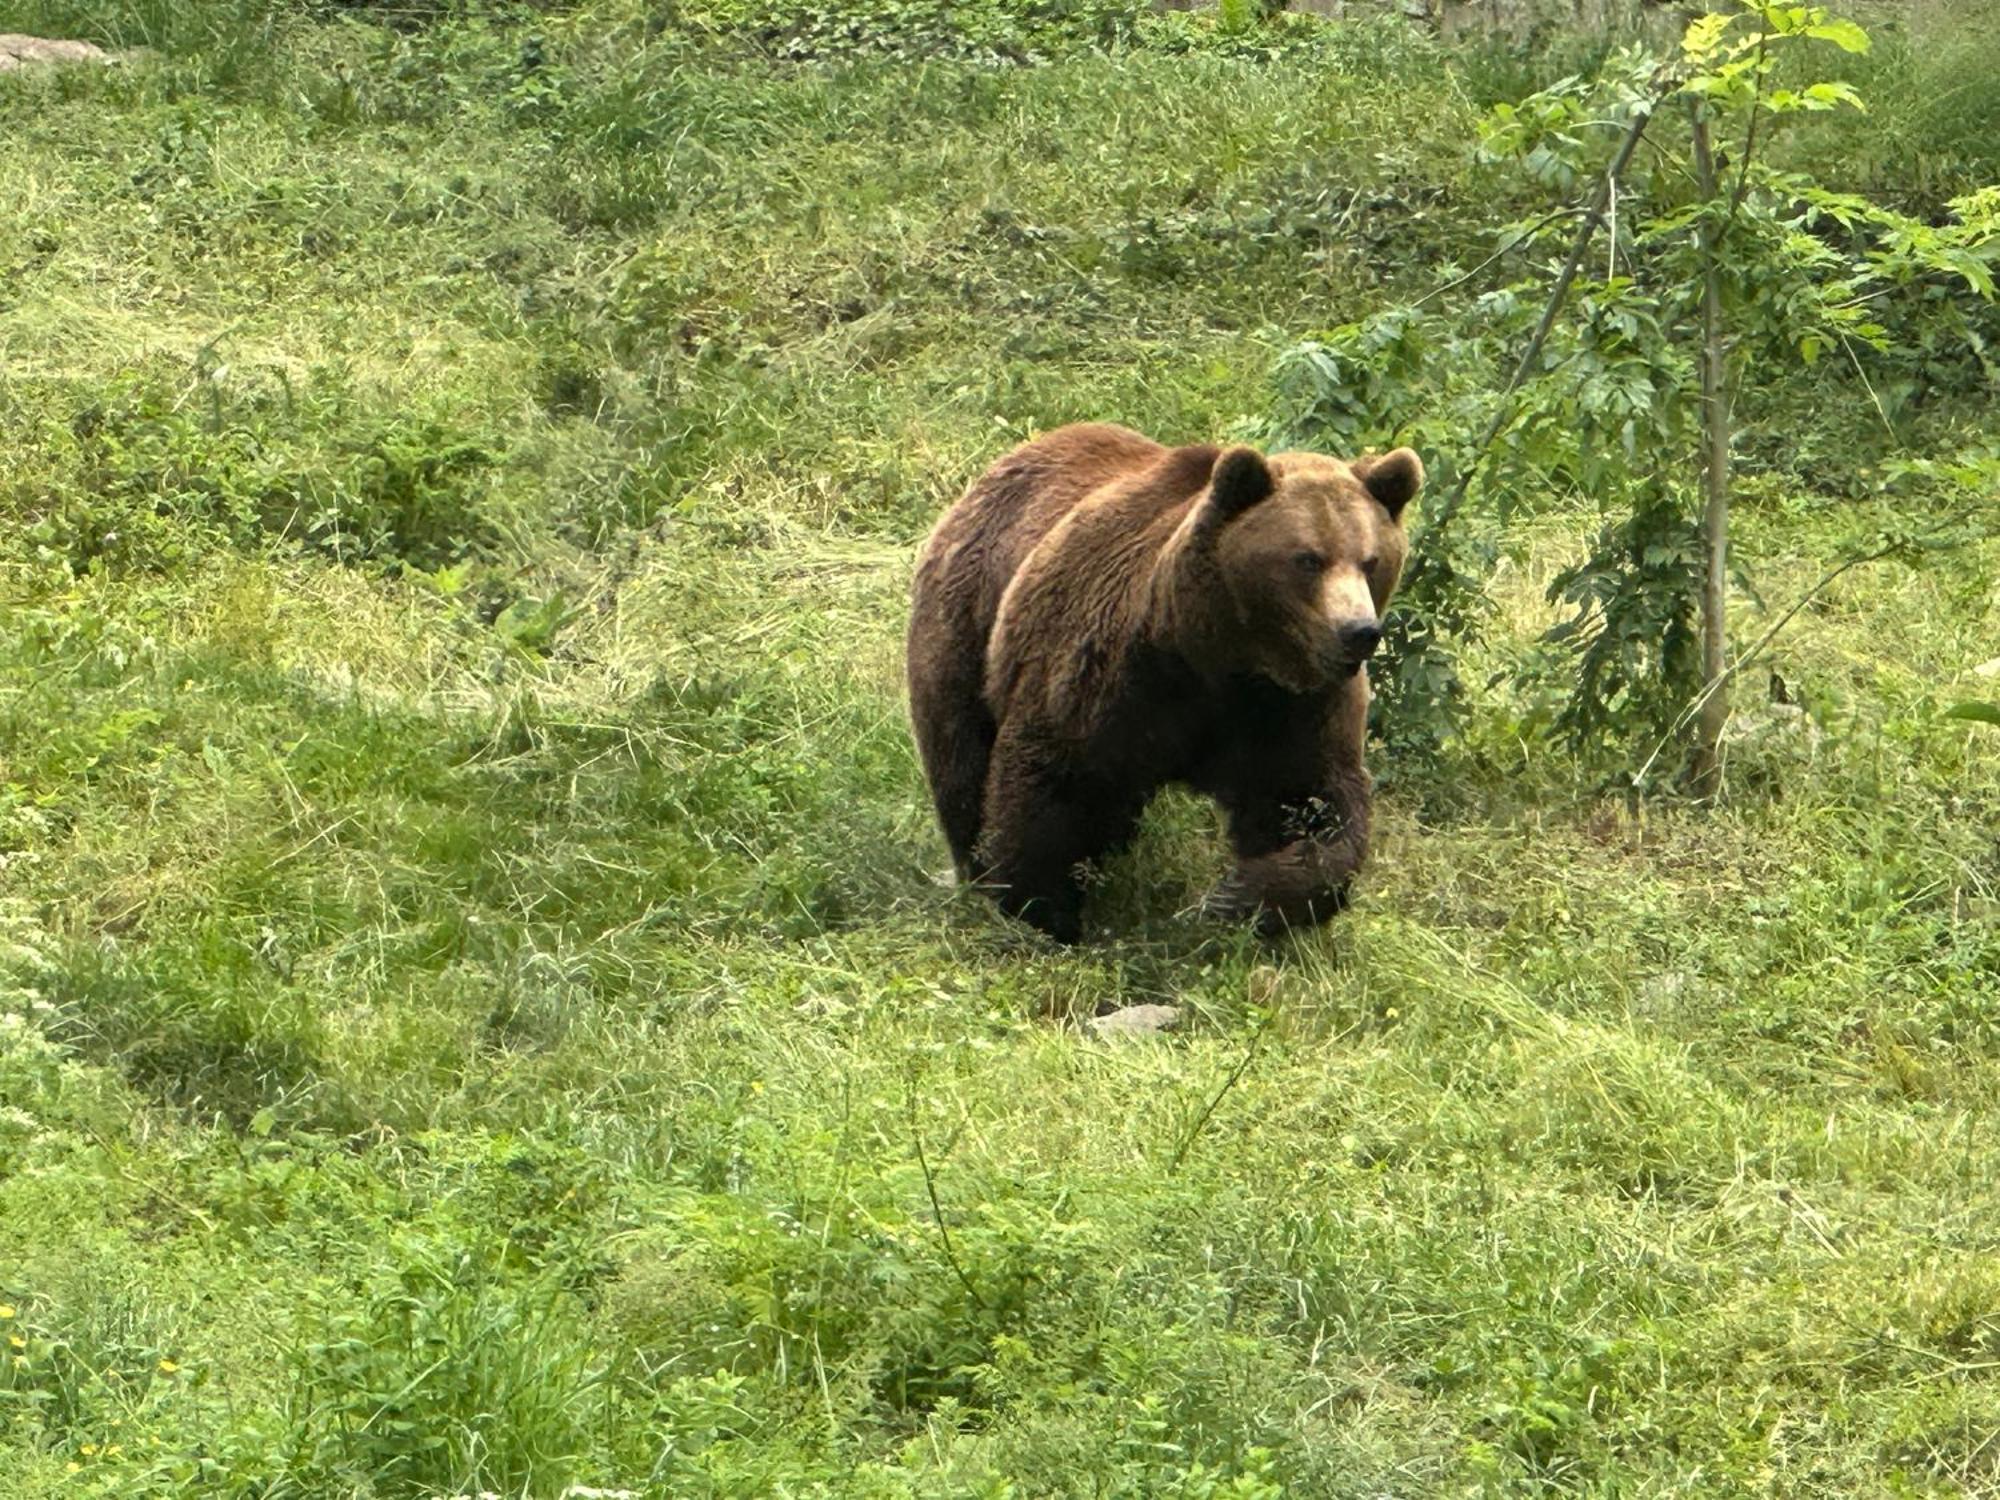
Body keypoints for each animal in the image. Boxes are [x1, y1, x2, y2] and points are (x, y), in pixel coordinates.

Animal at [908, 420, 1424, 940]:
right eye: (1308, 559)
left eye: (1371, 560)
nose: (1358, 631)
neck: (1214, 655)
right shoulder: (1112, 673)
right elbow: (1050, 777)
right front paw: (1039, 908)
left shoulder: (1292, 706)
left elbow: (1314, 804)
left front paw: (1235, 898)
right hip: (967, 618)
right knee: (961, 754)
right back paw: (975, 865)